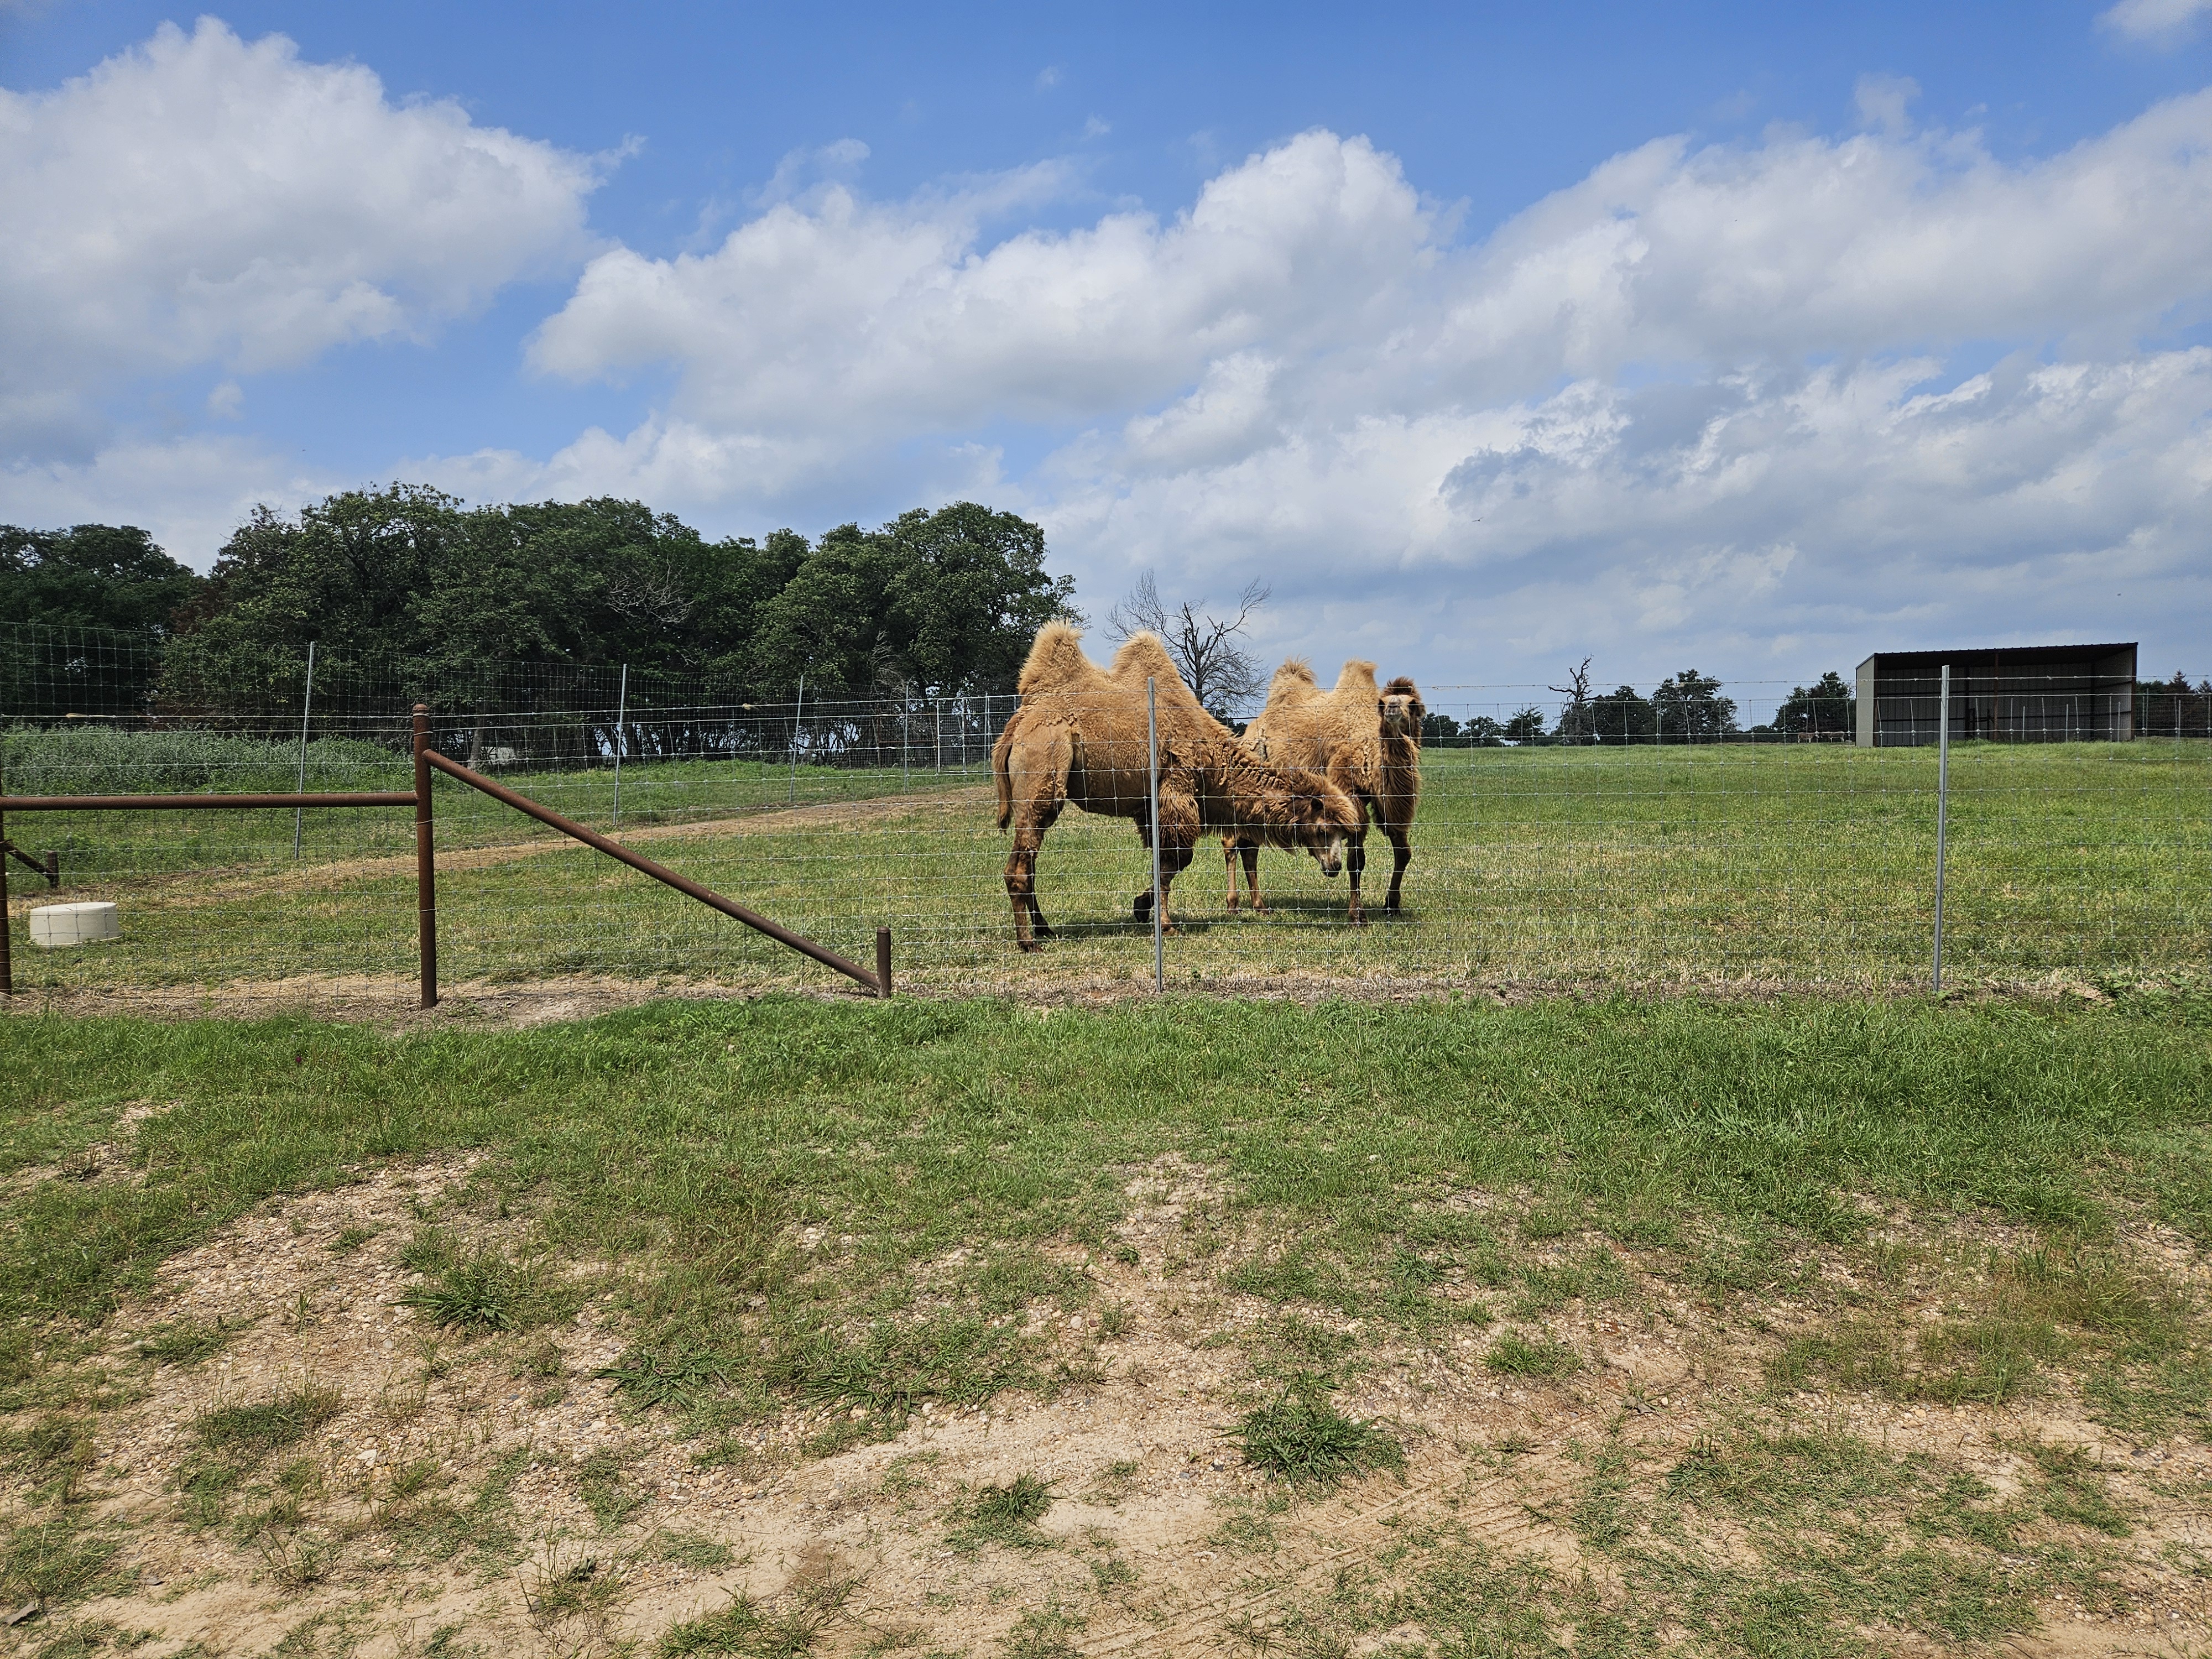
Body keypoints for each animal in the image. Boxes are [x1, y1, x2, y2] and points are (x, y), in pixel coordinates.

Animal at [993, 623, 1363, 951]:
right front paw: (1162, 922)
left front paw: (1144, 909)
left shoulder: (1149, 808)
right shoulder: (1176, 789)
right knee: (1018, 867)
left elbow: (1164, 860)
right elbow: (1178, 859)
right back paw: (1027, 941)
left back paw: (1044, 928)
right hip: (1045, 769)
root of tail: (1016, 727)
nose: (1334, 866)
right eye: (1325, 828)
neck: (1213, 763)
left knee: (1029, 861)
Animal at [1223, 659, 1424, 924]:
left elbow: (1403, 852)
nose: (1392, 708)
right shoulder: (1349, 793)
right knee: (1232, 843)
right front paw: (1357, 915)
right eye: (1383, 703)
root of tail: (1250, 732)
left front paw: (1392, 905)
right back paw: (1233, 905)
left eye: (1413, 705)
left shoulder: (1384, 804)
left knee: (1250, 848)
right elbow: (1356, 860)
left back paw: (1260, 906)